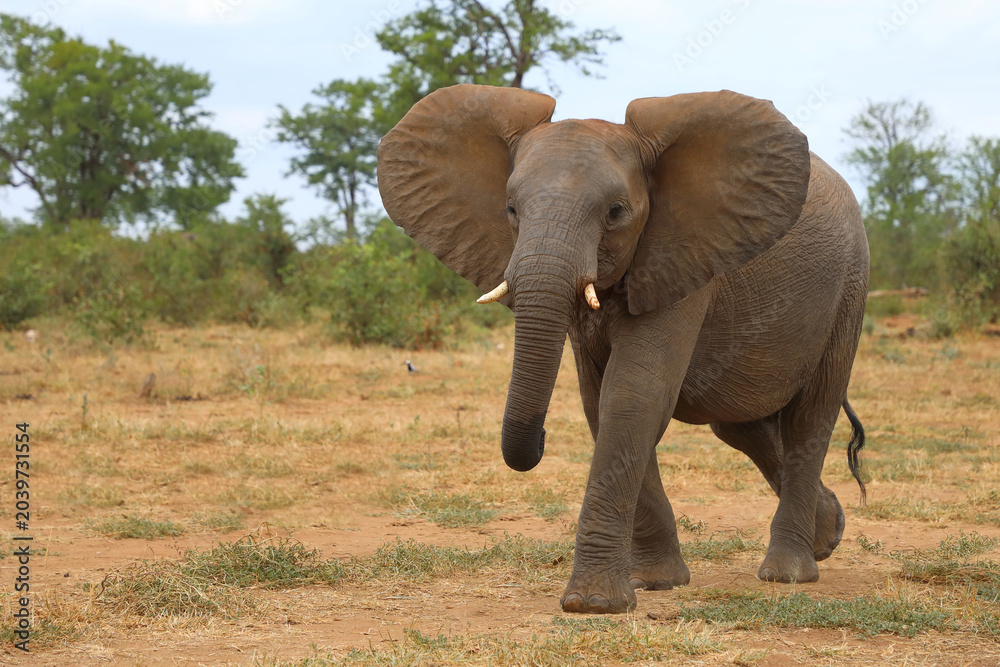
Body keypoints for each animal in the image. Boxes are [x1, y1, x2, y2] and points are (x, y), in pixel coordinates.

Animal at [377, 84, 869, 614]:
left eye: (615, 213)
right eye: (510, 210)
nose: (539, 440)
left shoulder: (681, 254)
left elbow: (633, 395)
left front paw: (593, 605)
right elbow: (601, 403)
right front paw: (655, 583)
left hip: (850, 289)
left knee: (809, 420)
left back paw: (788, 573)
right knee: (742, 426)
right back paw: (829, 534)